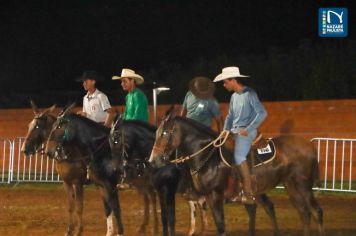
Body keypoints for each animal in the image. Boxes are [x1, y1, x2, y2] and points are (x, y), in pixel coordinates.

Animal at [21, 102, 88, 236]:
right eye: (29, 125)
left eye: (37, 126)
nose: (24, 149)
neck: (69, 152)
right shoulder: (67, 182)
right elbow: (71, 207)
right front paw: (69, 230)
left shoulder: (78, 183)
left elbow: (79, 207)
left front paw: (79, 231)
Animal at [149, 112, 324, 236]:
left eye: (165, 133)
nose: (153, 160)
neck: (209, 156)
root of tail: (310, 146)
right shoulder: (207, 197)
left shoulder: (215, 195)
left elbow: (221, 226)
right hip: (291, 186)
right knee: (304, 213)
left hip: (303, 186)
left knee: (316, 212)